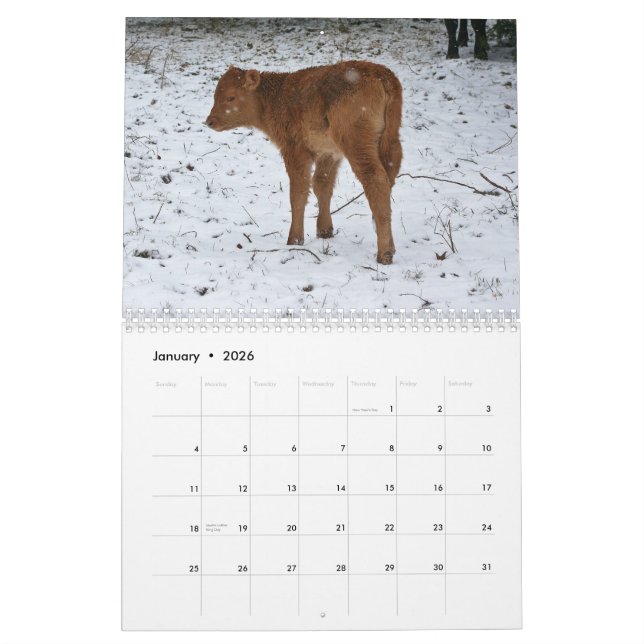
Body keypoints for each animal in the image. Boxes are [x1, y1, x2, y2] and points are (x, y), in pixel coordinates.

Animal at [205, 61, 403, 264]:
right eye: (216, 96)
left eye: (231, 97)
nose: (210, 121)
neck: (275, 99)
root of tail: (381, 74)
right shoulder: (328, 152)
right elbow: (321, 185)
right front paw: (325, 231)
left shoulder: (295, 151)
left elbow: (298, 193)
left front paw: (294, 239)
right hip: (390, 142)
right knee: (389, 177)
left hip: (357, 145)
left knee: (376, 181)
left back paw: (384, 253)